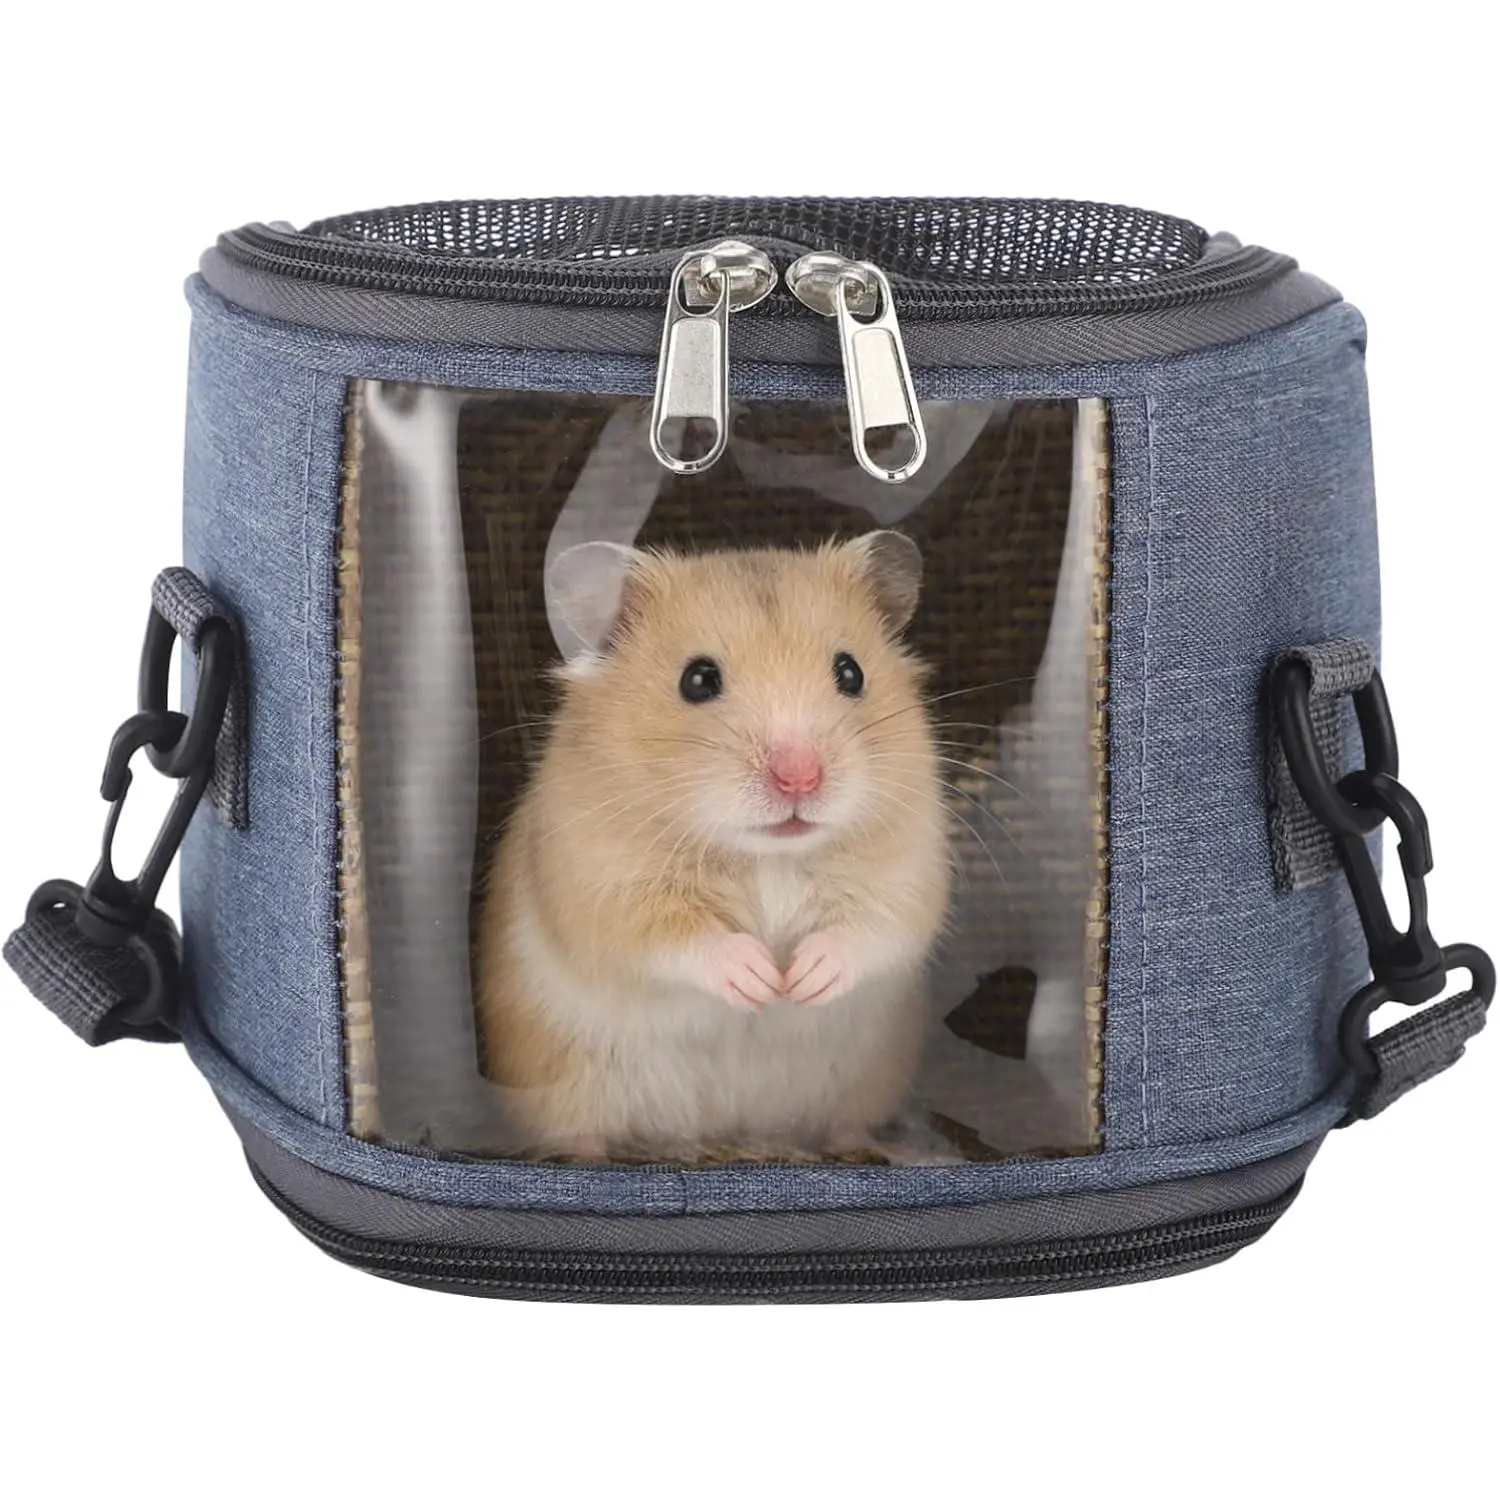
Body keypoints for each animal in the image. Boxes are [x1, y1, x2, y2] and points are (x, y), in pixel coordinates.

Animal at [477, 531, 951, 1160]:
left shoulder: (907, 868)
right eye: (698, 680)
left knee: (846, 1125)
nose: (800, 778)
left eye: (850, 673)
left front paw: (800, 980)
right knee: (579, 1137)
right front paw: (762, 981)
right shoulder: (601, 886)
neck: (767, 855)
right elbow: (677, 938)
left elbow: (872, 931)